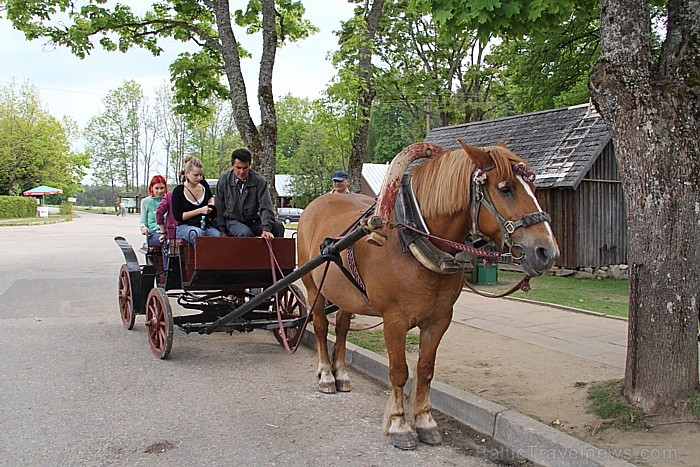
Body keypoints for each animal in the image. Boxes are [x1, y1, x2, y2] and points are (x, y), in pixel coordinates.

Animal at [298, 140, 560, 450]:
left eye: (532, 186)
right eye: (505, 188)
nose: (546, 252)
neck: (413, 239)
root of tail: (316, 204)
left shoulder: (439, 320)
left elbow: (425, 370)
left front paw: (424, 421)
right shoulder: (394, 321)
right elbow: (399, 372)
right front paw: (399, 424)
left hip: (346, 295)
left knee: (341, 328)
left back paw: (341, 373)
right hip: (313, 288)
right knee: (320, 326)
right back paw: (327, 375)